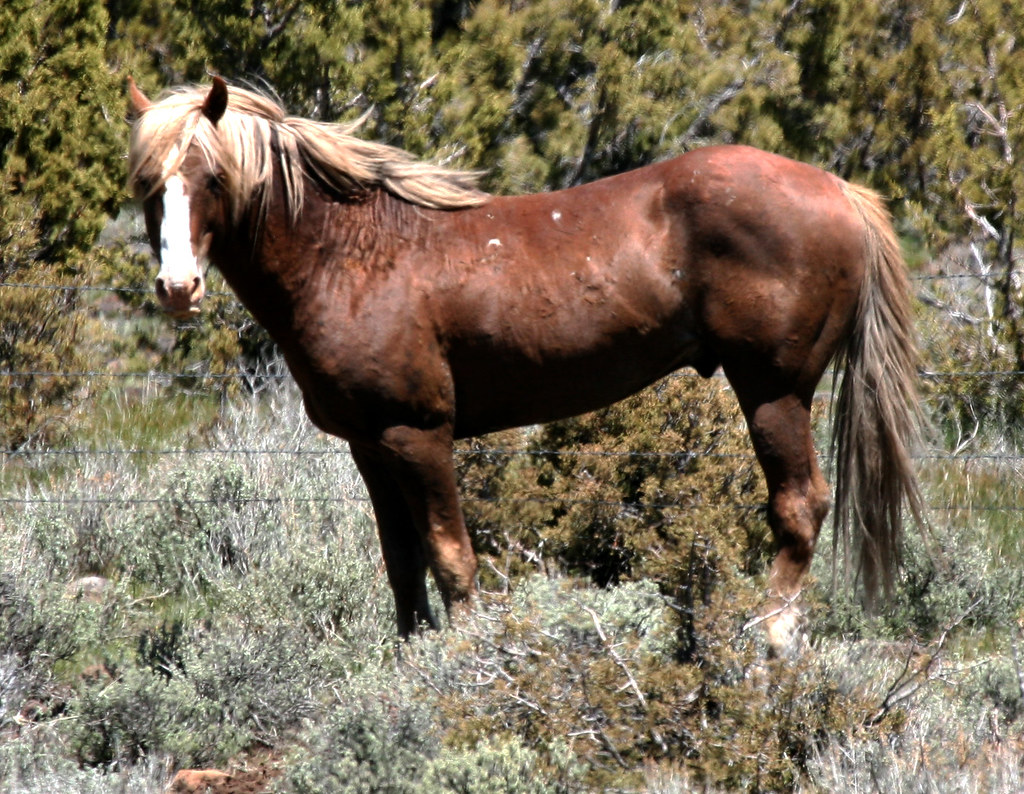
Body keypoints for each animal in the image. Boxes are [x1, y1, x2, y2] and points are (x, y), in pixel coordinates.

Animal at [126, 77, 922, 653]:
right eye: (146, 185)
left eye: (212, 178)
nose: (177, 288)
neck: (351, 255)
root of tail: (838, 188)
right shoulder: (369, 446)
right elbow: (402, 563)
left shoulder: (418, 435)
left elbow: (451, 558)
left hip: (772, 391)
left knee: (800, 506)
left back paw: (773, 638)